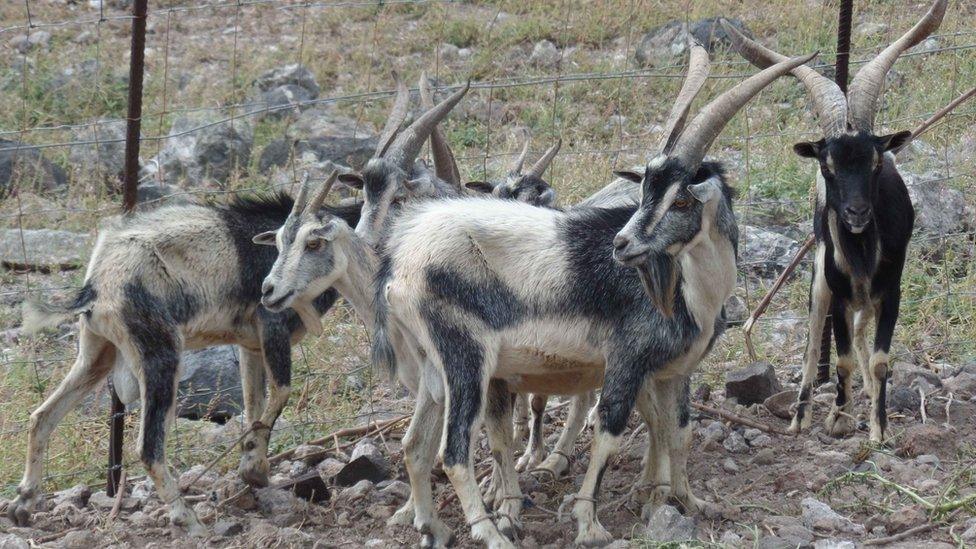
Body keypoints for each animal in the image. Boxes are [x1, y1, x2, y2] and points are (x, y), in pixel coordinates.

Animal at [8, 187, 358, 532]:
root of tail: (95, 287)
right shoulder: (273, 325)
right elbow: (281, 392)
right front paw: (254, 469)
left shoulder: (251, 345)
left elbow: (253, 405)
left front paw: (253, 469)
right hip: (160, 357)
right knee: (148, 449)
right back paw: (187, 519)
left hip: (96, 354)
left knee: (41, 417)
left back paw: (22, 504)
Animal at [724, 0, 944, 440]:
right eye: (827, 166)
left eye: (877, 163)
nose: (857, 212)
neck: (862, 248)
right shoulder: (838, 290)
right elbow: (837, 359)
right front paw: (838, 420)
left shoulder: (891, 290)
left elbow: (879, 359)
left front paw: (878, 429)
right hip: (819, 277)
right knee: (813, 344)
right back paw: (802, 417)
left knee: (860, 337)